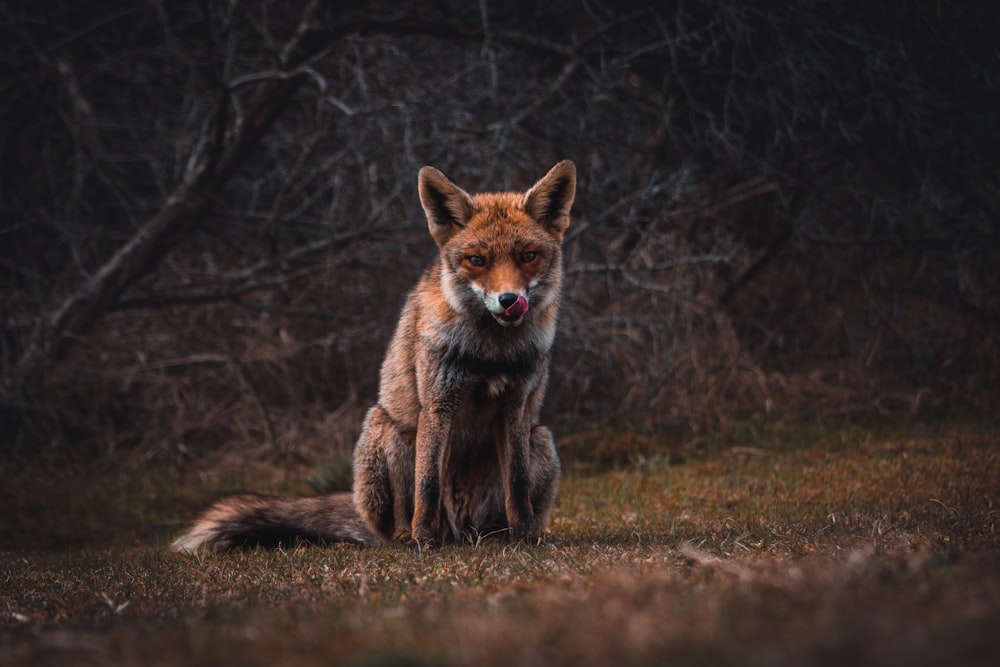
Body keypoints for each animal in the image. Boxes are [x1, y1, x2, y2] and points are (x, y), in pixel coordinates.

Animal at [174, 159, 580, 552]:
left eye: (528, 256)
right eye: (477, 260)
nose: (509, 300)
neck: (490, 355)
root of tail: (460, 530)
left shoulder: (515, 408)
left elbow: (517, 485)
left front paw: (525, 538)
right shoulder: (438, 404)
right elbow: (428, 485)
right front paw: (423, 542)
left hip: (540, 438)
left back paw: (500, 534)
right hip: (389, 430)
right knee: (405, 513)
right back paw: (410, 538)